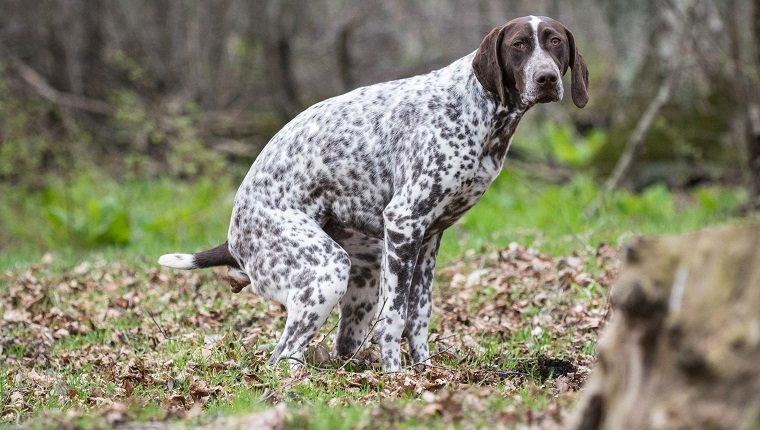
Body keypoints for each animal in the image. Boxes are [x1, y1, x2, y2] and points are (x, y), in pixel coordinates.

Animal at [159, 15, 588, 372]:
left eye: (555, 42)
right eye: (518, 45)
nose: (546, 78)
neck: (477, 109)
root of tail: (234, 237)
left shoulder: (428, 238)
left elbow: (418, 317)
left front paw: (424, 373)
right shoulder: (403, 222)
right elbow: (395, 319)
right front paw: (398, 380)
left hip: (362, 276)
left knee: (336, 346)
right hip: (327, 272)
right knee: (282, 357)